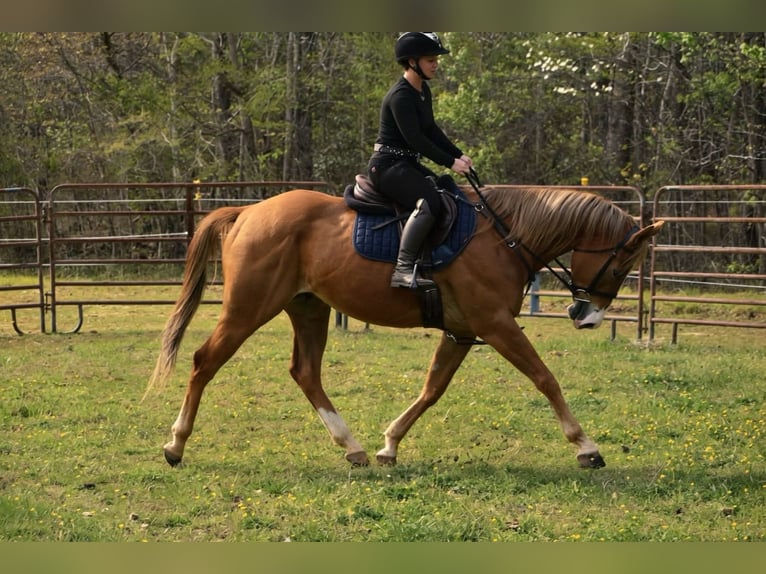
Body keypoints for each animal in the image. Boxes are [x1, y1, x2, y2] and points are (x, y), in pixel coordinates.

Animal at [146, 181, 663, 470]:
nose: (587, 317)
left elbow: (432, 389)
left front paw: (389, 445)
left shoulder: (463, 331)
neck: (504, 237)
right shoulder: (496, 325)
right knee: (204, 361)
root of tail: (248, 212)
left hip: (309, 309)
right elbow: (545, 378)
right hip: (248, 309)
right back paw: (175, 444)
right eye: (621, 266)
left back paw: (352, 448)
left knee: (306, 373)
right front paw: (586, 447)